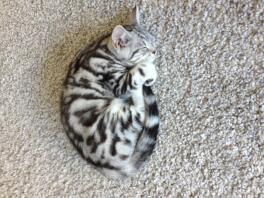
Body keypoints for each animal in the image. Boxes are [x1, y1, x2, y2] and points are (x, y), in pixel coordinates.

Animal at [60, 6, 160, 179]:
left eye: (152, 40)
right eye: (144, 48)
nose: (155, 51)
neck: (103, 47)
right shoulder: (118, 85)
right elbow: (138, 71)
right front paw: (149, 70)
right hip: (117, 113)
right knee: (139, 109)